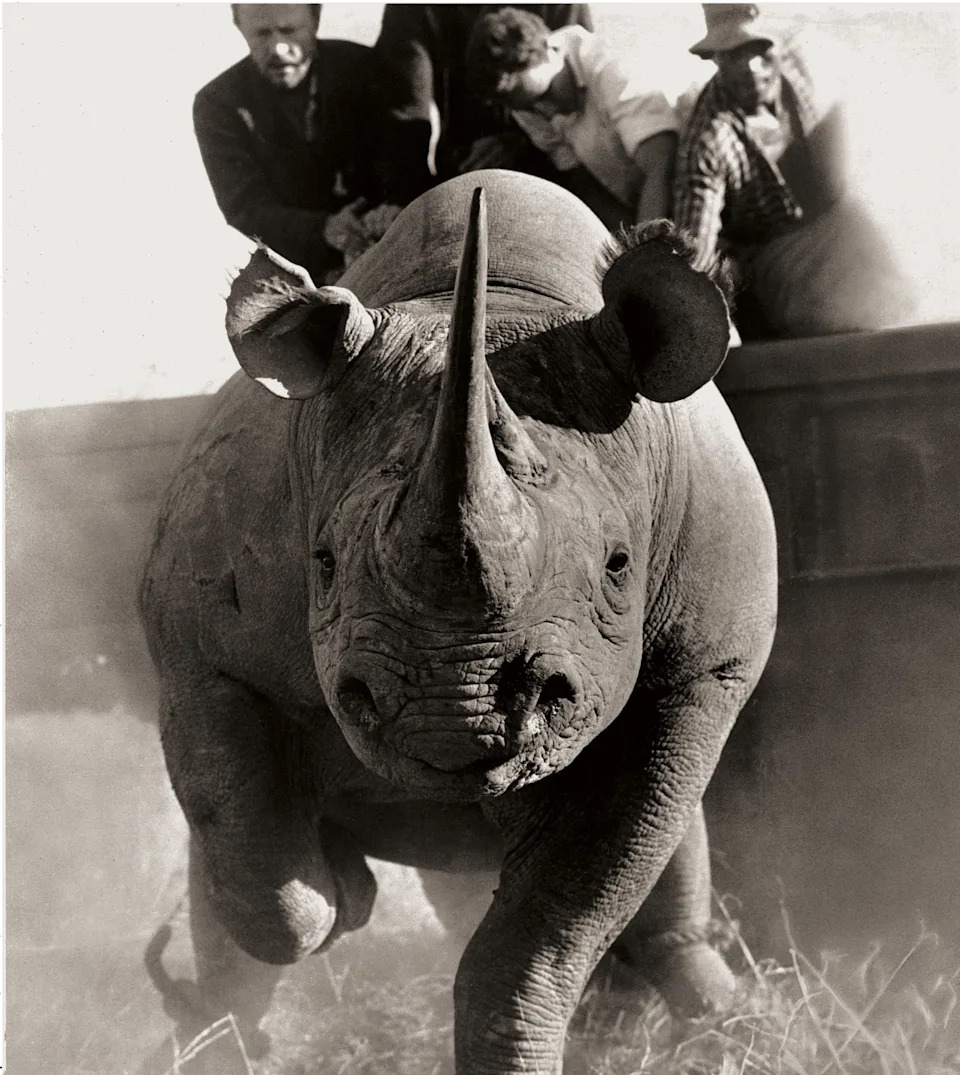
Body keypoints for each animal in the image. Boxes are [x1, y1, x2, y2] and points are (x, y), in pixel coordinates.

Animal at [140, 169, 777, 1074]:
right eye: (321, 562)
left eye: (619, 566)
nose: (449, 716)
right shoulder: (194, 641)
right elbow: (251, 858)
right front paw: (344, 893)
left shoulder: (699, 672)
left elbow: (552, 927)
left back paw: (727, 1017)